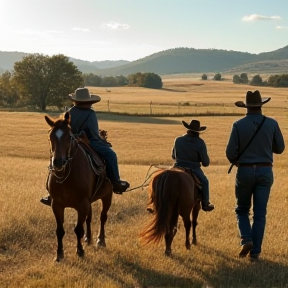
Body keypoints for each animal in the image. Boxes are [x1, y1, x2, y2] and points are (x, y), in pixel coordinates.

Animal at [44, 111, 113, 262]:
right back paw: (88, 238)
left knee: (103, 217)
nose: (58, 162)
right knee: (90, 217)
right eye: (50, 136)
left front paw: (80, 251)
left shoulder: (82, 204)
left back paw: (100, 240)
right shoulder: (56, 205)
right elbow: (60, 230)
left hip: (107, 196)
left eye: (69, 136)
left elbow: (78, 229)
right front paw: (59, 254)